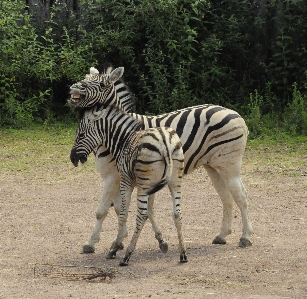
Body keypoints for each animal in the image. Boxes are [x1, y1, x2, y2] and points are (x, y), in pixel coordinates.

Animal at [71, 104, 188, 266]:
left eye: (81, 135)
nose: (72, 158)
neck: (123, 141)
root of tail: (164, 140)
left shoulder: (126, 181)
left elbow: (123, 214)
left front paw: (115, 247)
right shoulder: (152, 186)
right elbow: (150, 211)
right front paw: (162, 241)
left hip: (144, 185)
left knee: (141, 215)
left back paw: (126, 256)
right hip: (175, 180)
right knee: (176, 213)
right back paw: (183, 254)